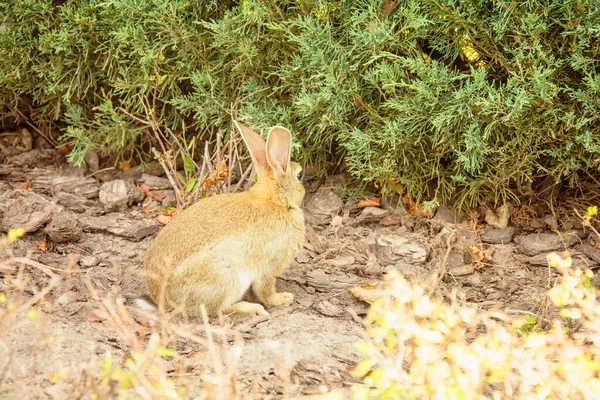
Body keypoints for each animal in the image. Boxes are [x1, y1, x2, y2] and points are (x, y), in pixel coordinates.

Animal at [136, 120, 304, 318]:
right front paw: (283, 299)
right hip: (225, 276)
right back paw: (252, 308)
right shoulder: (268, 267)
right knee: (217, 310)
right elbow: (266, 291)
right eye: (300, 175)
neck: (275, 201)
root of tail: (164, 301)